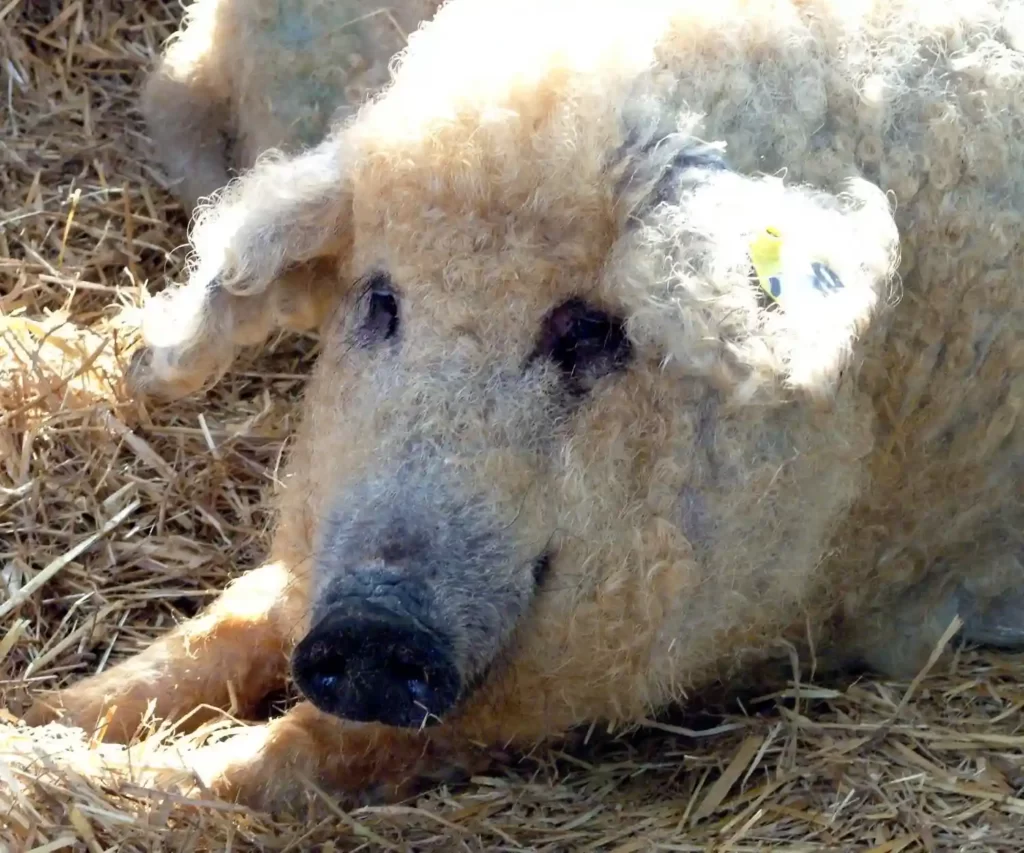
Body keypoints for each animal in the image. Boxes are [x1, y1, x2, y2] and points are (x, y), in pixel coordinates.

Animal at [24, 0, 1024, 814]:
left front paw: (92, 769)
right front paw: (51, 713)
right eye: (379, 300)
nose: (372, 627)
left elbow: (319, 748)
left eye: (588, 331)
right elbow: (244, 610)